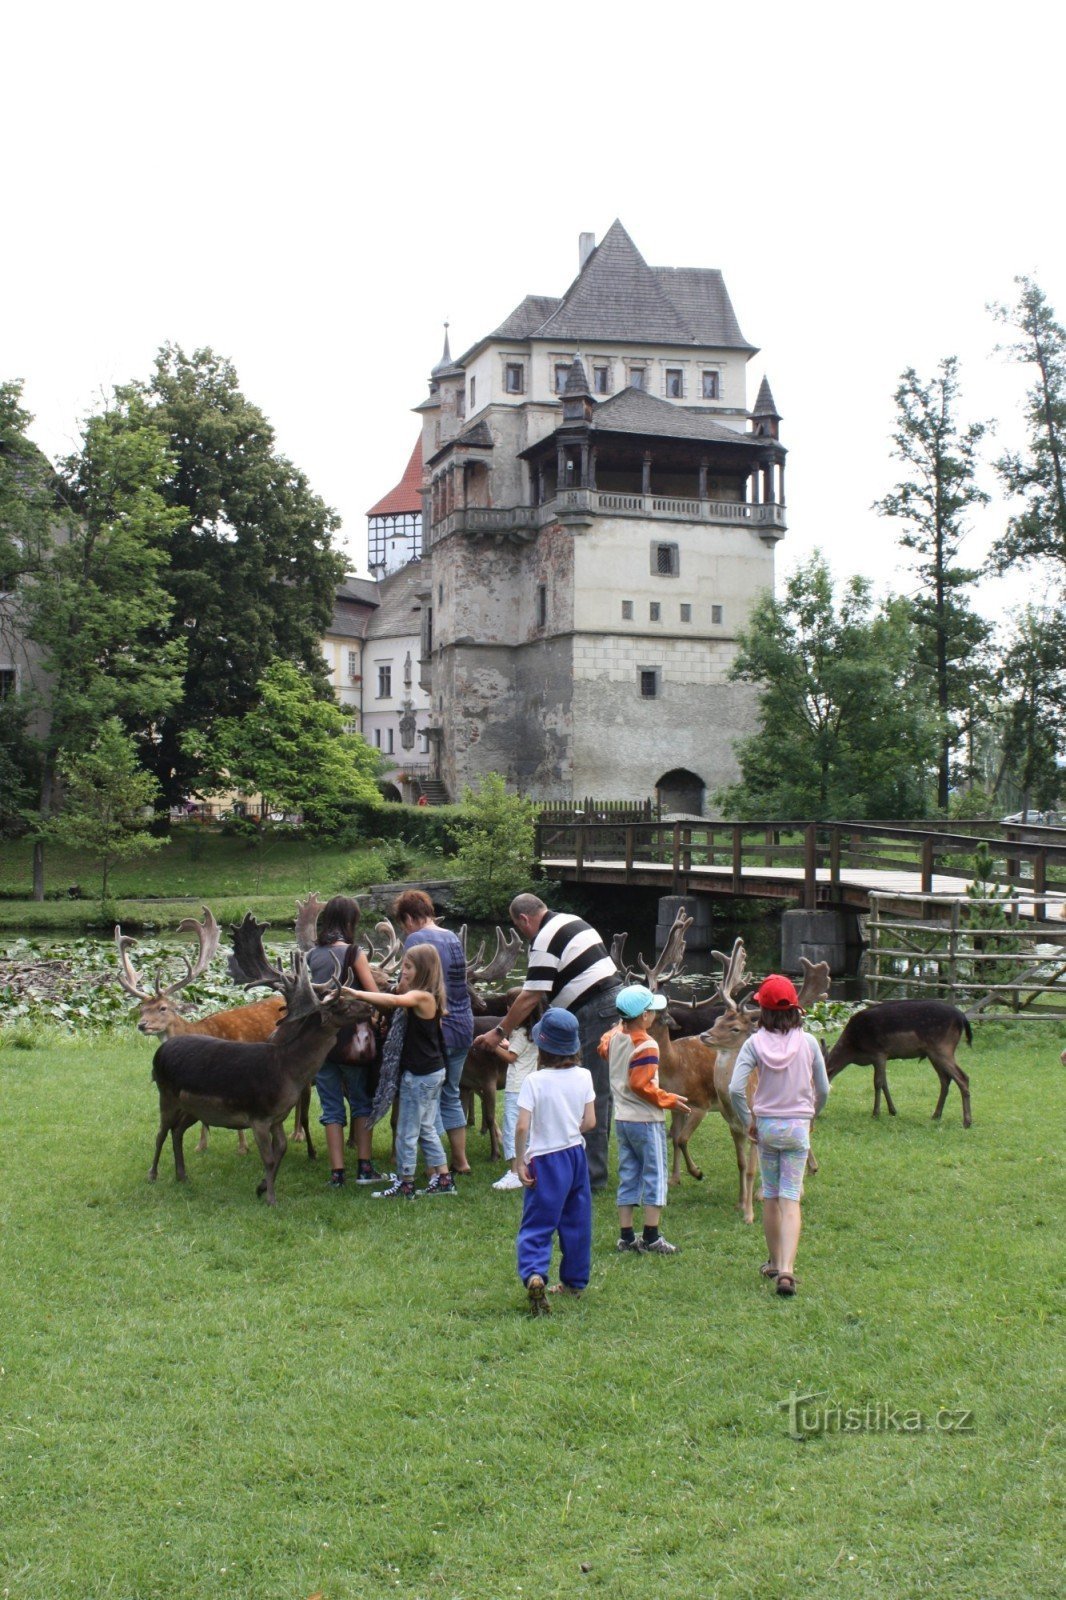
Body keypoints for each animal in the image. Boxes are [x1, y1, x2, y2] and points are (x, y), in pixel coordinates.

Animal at [149, 915, 372, 1203]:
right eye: (341, 1004)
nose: (370, 1006)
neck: (287, 1071)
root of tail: (160, 1051)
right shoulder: (259, 1116)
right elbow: (268, 1158)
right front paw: (271, 1199)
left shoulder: (277, 1116)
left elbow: (282, 1150)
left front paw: (261, 1187)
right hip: (166, 1094)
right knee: (161, 1132)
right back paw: (153, 1174)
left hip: (192, 1108)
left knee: (177, 1131)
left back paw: (182, 1175)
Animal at [819, 998, 973, 1126]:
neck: (853, 1048)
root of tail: (962, 1017)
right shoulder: (881, 1058)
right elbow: (885, 1083)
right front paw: (892, 1111)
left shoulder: (879, 1052)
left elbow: (878, 1082)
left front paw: (875, 1113)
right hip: (933, 1053)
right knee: (945, 1079)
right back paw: (936, 1115)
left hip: (943, 1047)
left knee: (963, 1077)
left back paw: (967, 1121)